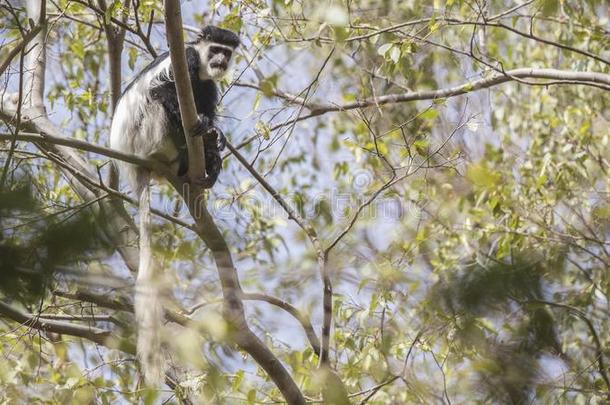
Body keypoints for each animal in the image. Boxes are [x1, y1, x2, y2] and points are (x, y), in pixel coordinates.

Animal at [110, 25, 239, 386]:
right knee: (159, 100)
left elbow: (207, 96)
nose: (221, 61)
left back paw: (206, 161)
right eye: (215, 50)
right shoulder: (189, 60)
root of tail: (137, 168)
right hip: (148, 134)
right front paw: (207, 128)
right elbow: (164, 90)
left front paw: (215, 138)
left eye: (227, 52)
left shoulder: (210, 82)